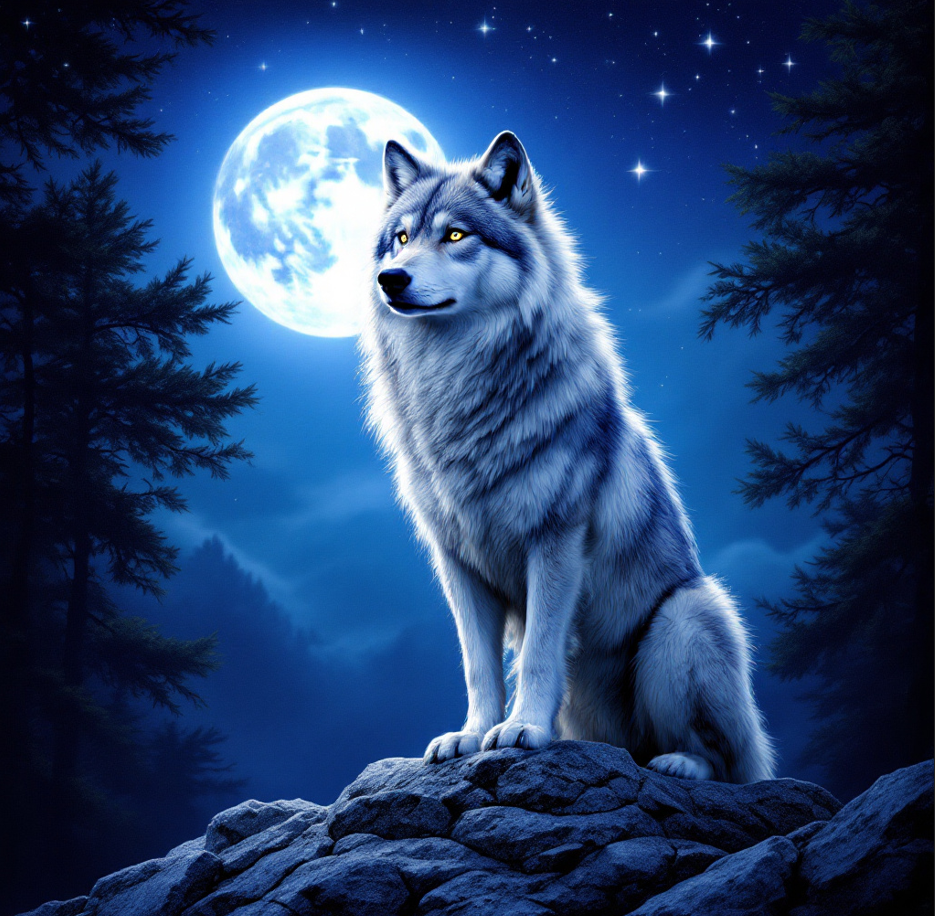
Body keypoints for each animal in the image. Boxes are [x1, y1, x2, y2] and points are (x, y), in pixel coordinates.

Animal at [359, 131, 776, 783]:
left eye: (454, 236)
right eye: (401, 237)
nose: (390, 278)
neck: (456, 389)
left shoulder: (555, 542)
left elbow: (535, 654)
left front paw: (523, 730)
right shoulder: (457, 563)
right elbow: (478, 667)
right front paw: (471, 735)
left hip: (684, 617)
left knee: (724, 760)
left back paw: (679, 764)